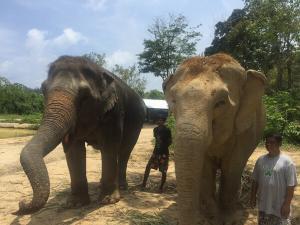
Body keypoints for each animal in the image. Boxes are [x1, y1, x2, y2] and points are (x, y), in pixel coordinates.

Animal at [15, 55, 146, 214]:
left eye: (84, 95)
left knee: (124, 152)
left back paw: (121, 187)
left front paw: (108, 201)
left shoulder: (114, 111)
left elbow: (110, 145)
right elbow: (74, 150)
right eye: (43, 90)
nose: (21, 202)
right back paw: (100, 186)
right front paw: (74, 204)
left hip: (137, 123)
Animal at [164, 53, 268, 224]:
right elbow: (206, 169)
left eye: (221, 103)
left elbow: (232, 167)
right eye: (173, 101)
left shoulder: (246, 130)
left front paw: (227, 219)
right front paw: (210, 216)